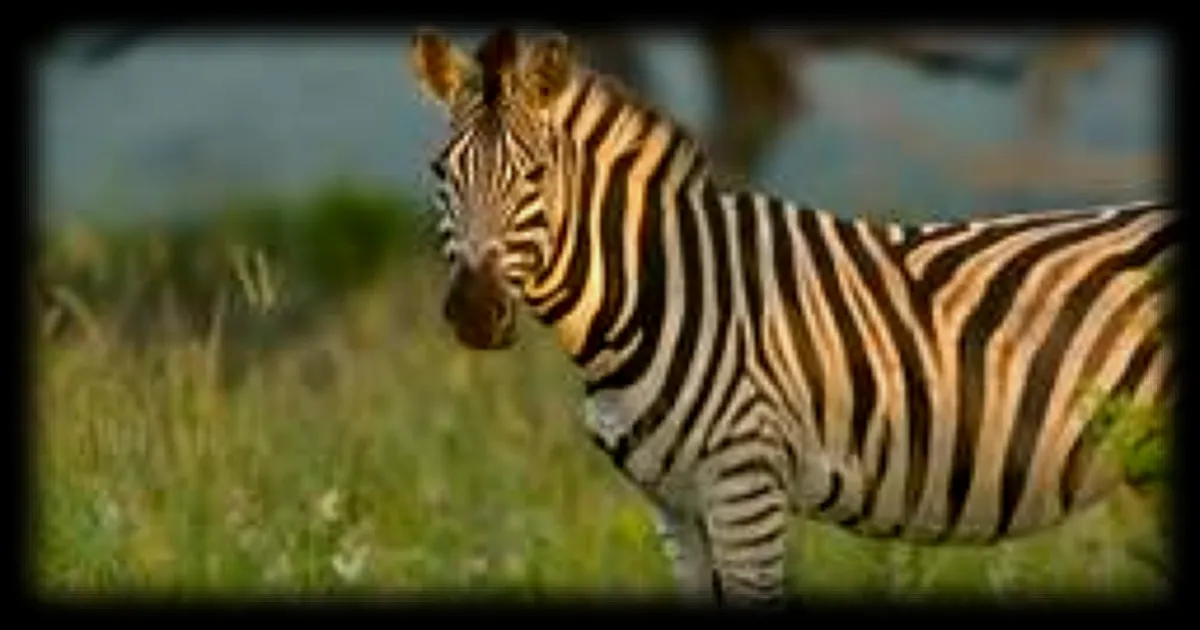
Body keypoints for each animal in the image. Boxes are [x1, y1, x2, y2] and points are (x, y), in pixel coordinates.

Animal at [410, 27, 1176, 605]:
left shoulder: (745, 482)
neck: (659, 292)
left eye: (536, 175)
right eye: (440, 172)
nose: (474, 312)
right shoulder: (675, 505)